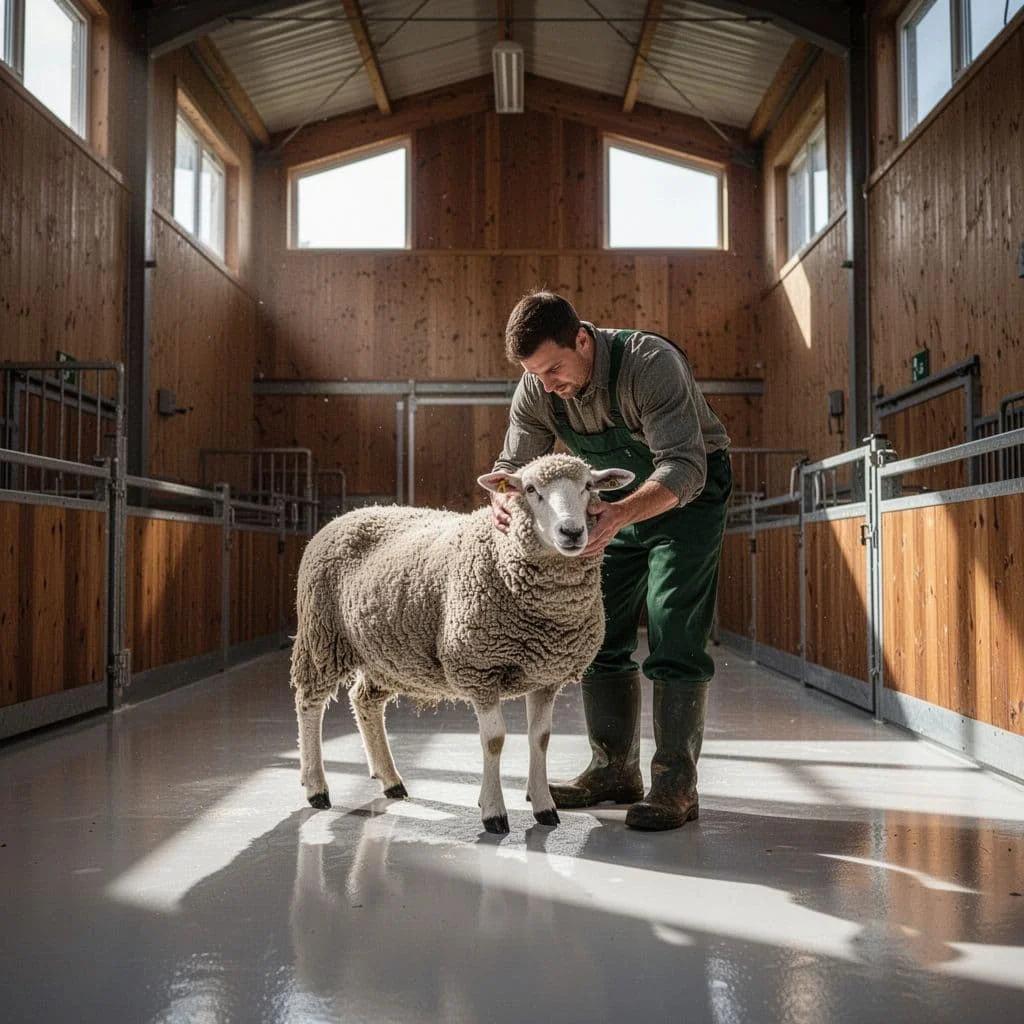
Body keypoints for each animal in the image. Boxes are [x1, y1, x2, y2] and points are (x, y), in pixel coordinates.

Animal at [290, 452, 635, 834]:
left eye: (588, 486)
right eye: (530, 489)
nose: (572, 532)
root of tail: (345, 516)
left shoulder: (547, 674)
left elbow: (540, 738)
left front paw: (544, 806)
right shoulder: (478, 667)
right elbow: (494, 740)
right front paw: (493, 812)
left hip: (388, 655)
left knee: (364, 700)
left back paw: (390, 780)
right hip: (321, 636)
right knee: (309, 702)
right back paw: (316, 787)